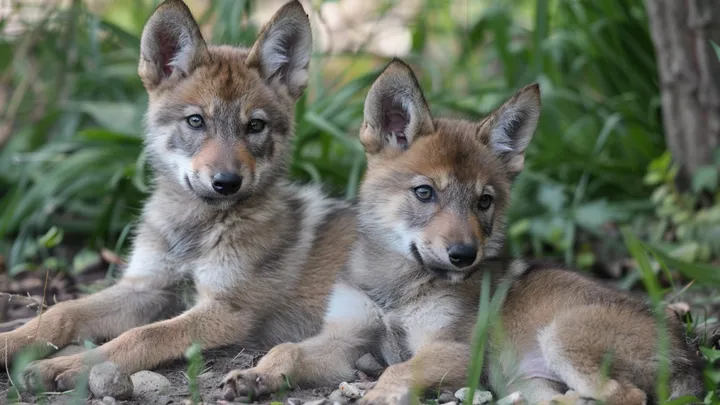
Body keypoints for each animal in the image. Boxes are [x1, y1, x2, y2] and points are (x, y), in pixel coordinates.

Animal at [0, 0, 356, 392]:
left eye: (255, 126)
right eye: (196, 121)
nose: (227, 182)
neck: (194, 229)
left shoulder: (227, 309)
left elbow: (142, 335)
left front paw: (67, 366)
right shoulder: (147, 287)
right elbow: (62, 311)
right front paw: (10, 341)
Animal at [219, 59, 706, 405]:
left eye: (483, 202)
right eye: (425, 192)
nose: (464, 255)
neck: (396, 289)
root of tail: (690, 356)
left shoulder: (450, 350)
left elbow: (397, 371)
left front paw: (377, 396)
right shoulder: (344, 339)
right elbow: (287, 350)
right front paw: (254, 376)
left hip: (562, 339)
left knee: (628, 396)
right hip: (530, 381)